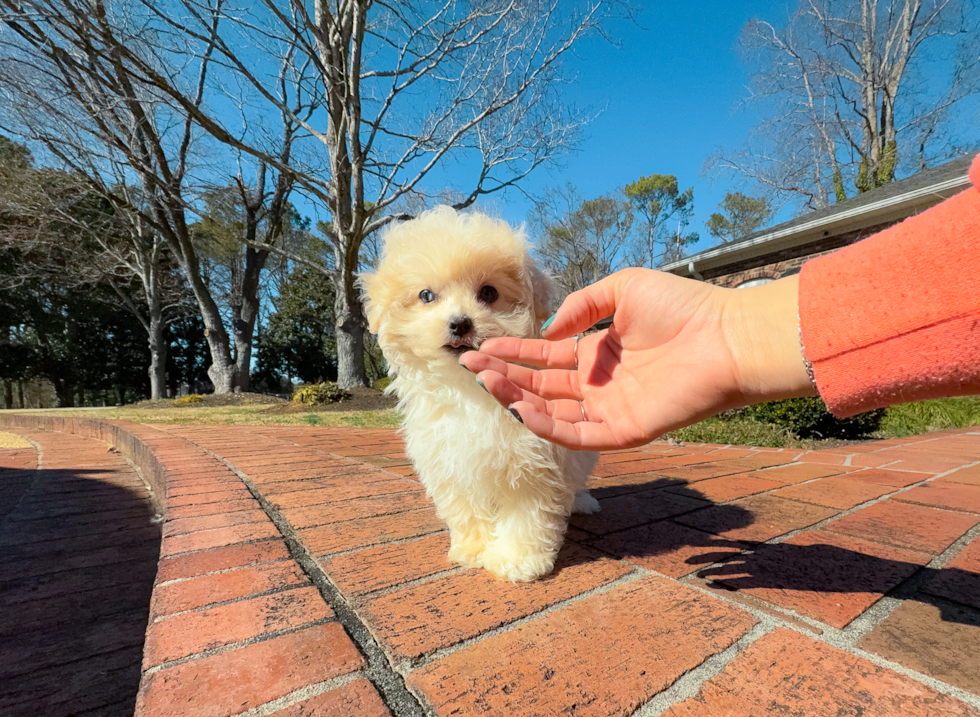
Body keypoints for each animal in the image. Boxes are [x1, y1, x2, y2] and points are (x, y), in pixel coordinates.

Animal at [360, 206, 596, 580]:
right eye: (426, 295)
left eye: (488, 293)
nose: (460, 323)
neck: (469, 388)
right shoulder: (450, 461)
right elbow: (468, 509)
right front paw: (474, 549)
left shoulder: (531, 460)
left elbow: (526, 512)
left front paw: (516, 560)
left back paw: (584, 501)